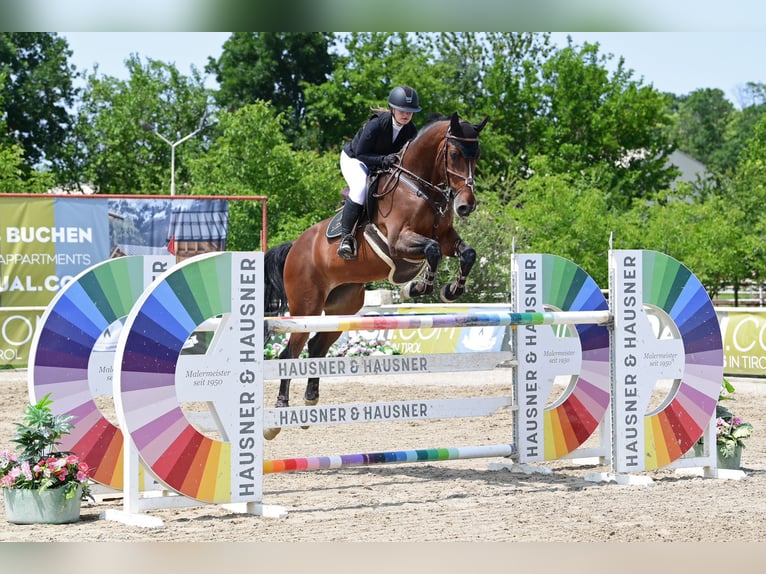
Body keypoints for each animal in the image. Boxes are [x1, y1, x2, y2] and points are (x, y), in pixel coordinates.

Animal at [263, 112, 488, 439]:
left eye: (477, 155)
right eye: (455, 154)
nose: (466, 206)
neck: (420, 188)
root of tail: (295, 247)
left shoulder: (447, 238)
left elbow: (467, 253)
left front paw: (451, 291)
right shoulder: (398, 242)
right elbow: (431, 250)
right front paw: (417, 287)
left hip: (343, 307)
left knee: (317, 346)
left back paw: (310, 401)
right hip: (306, 306)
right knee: (290, 354)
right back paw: (278, 416)